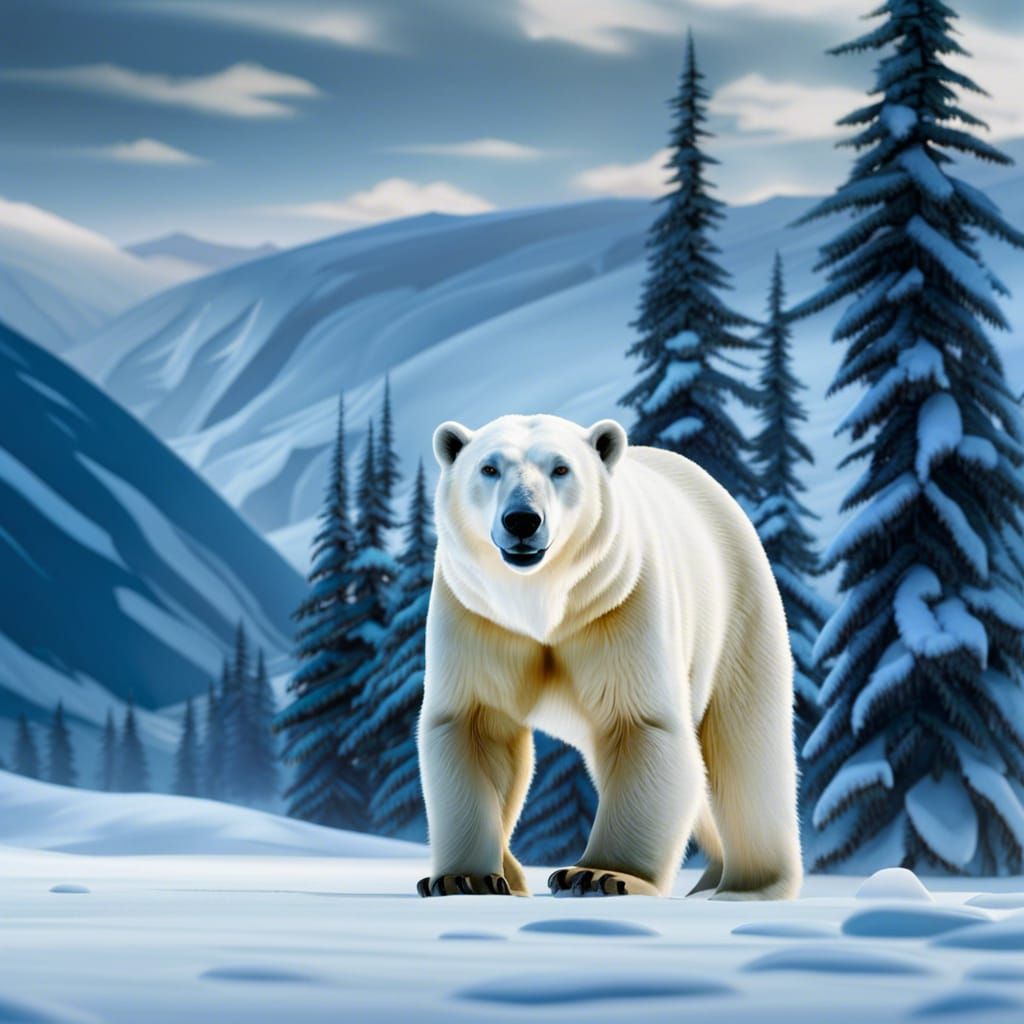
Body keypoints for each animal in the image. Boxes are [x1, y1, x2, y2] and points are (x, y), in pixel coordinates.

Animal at [416, 413, 802, 900]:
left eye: (561, 468)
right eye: (489, 468)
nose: (522, 520)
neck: (542, 607)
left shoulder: (622, 606)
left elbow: (641, 725)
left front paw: (599, 874)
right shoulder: (478, 618)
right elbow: (474, 726)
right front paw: (467, 877)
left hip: (739, 613)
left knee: (745, 753)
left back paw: (749, 885)